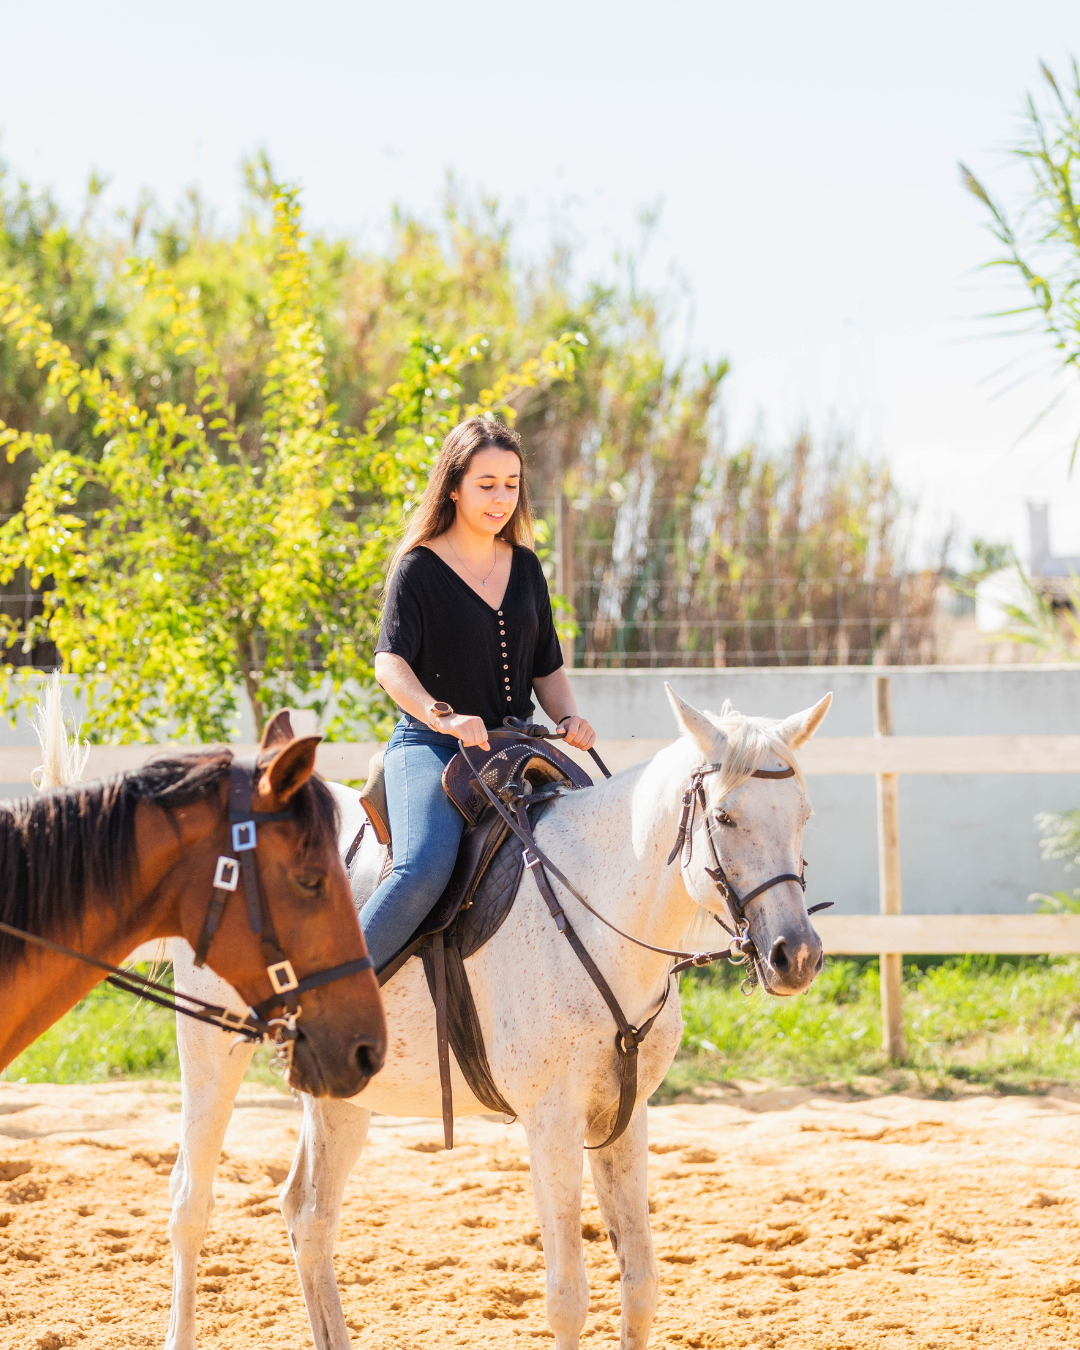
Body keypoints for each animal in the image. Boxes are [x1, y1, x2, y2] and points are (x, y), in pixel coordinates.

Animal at [164, 685, 831, 1350]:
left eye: (804, 815)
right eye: (724, 818)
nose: (795, 955)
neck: (596, 912)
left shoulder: (626, 1114)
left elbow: (640, 1286)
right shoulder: (551, 1121)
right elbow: (568, 1299)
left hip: (342, 1092)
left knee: (308, 1213)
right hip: (210, 1049)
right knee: (190, 1203)